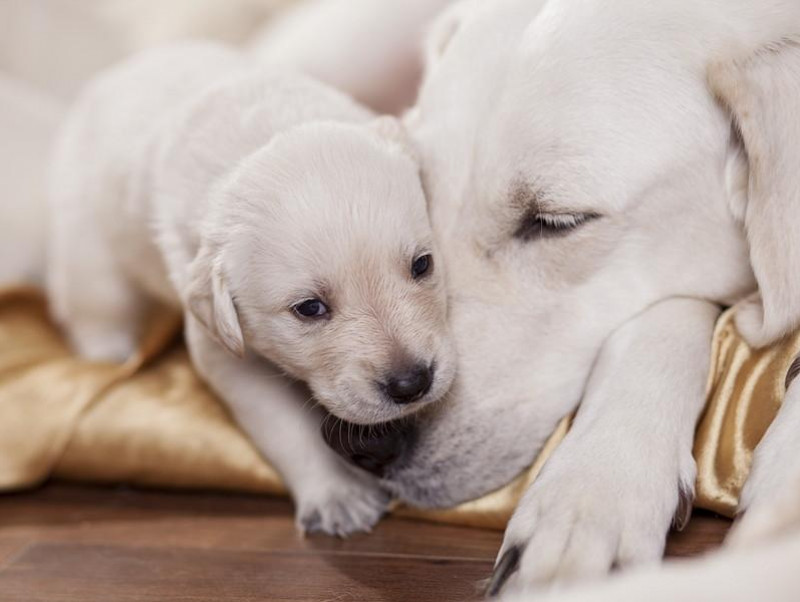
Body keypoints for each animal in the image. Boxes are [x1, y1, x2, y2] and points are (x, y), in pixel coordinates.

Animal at [47, 42, 456, 532]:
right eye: (309, 308)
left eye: (422, 265)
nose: (411, 384)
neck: (261, 133)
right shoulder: (223, 349)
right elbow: (285, 426)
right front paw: (336, 495)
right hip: (88, 242)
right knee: (94, 305)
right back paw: (110, 352)